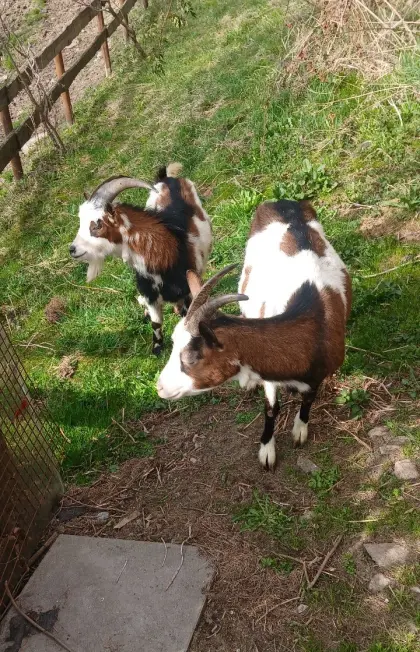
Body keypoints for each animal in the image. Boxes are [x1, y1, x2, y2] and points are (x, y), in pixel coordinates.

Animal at [70, 163, 212, 354]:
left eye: (97, 225)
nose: (72, 249)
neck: (165, 254)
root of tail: (166, 178)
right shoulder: (151, 296)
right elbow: (156, 322)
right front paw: (157, 349)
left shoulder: (187, 291)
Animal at [157, 199, 351, 468]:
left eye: (191, 358)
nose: (159, 387)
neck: (314, 323)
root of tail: (281, 202)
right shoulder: (268, 372)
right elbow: (271, 407)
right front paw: (267, 450)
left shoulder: (318, 373)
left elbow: (309, 398)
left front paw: (300, 430)